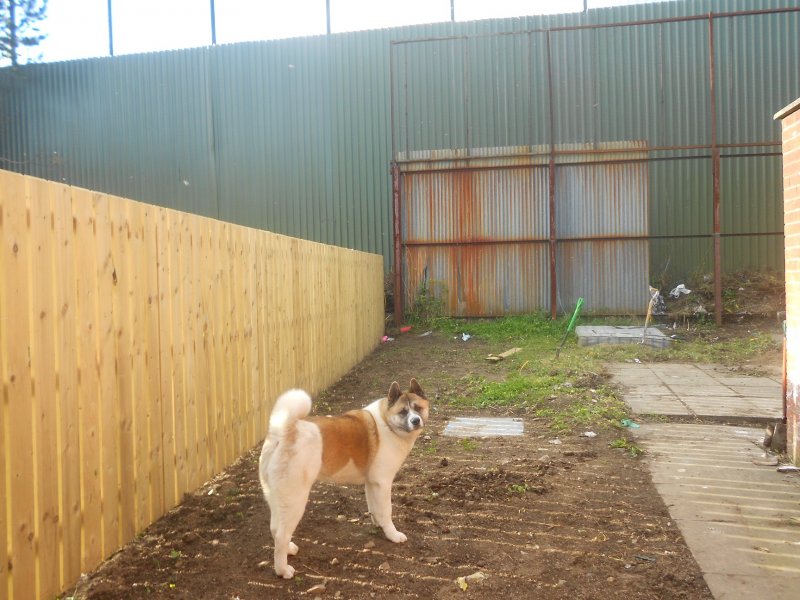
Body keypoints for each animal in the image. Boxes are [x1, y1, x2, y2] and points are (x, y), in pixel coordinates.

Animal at [258, 379, 429, 579]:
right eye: (403, 412)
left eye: (418, 408)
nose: (415, 420)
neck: (387, 423)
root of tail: (284, 432)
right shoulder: (383, 483)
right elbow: (386, 511)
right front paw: (392, 534)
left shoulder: (372, 484)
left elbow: (375, 509)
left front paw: (379, 526)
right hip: (295, 500)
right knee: (281, 535)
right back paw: (283, 570)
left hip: (277, 497)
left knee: (275, 528)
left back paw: (289, 549)